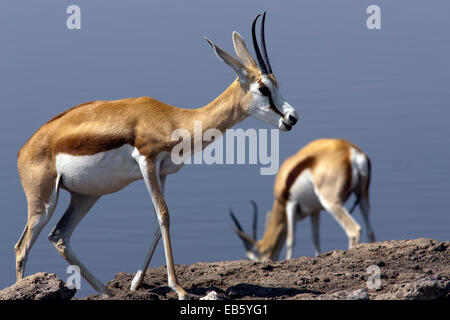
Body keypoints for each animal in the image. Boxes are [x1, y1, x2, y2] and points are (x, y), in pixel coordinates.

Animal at [13, 11, 298, 298]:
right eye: (263, 88)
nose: (292, 117)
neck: (174, 119)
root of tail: (23, 150)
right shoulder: (147, 162)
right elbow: (164, 215)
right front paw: (179, 288)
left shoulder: (162, 172)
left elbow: (157, 223)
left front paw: (135, 283)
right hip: (44, 203)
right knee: (21, 248)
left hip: (86, 196)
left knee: (59, 236)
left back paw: (108, 291)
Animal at [230, 139, 374, 262]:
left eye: (250, 258)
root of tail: (352, 152)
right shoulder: (315, 210)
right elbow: (315, 238)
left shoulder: (290, 205)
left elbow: (290, 241)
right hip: (363, 196)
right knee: (370, 231)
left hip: (331, 203)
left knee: (354, 230)